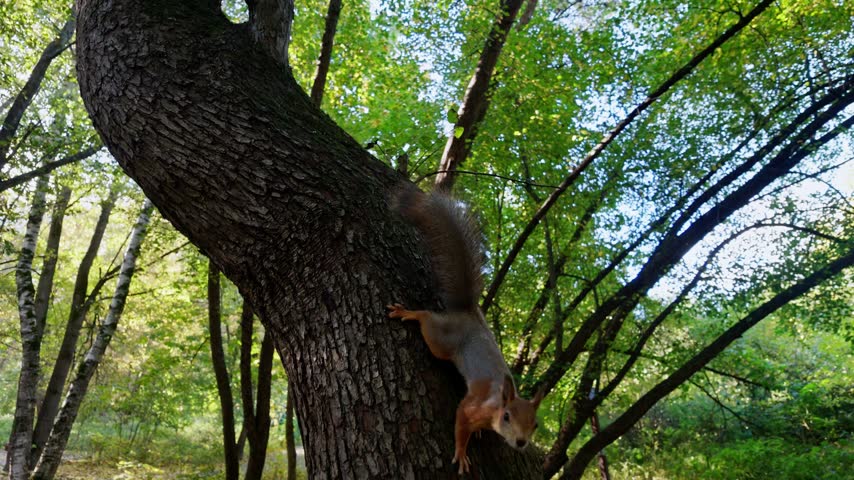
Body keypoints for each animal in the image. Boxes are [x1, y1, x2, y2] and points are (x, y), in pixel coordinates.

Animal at [387, 186, 543, 475]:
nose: (521, 442)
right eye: (507, 416)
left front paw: (478, 435)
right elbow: (460, 422)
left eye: (535, 424)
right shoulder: (472, 407)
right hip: (441, 340)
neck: (497, 403)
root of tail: (469, 313)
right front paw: (461, 454)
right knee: (428, 321)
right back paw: (410, 313)